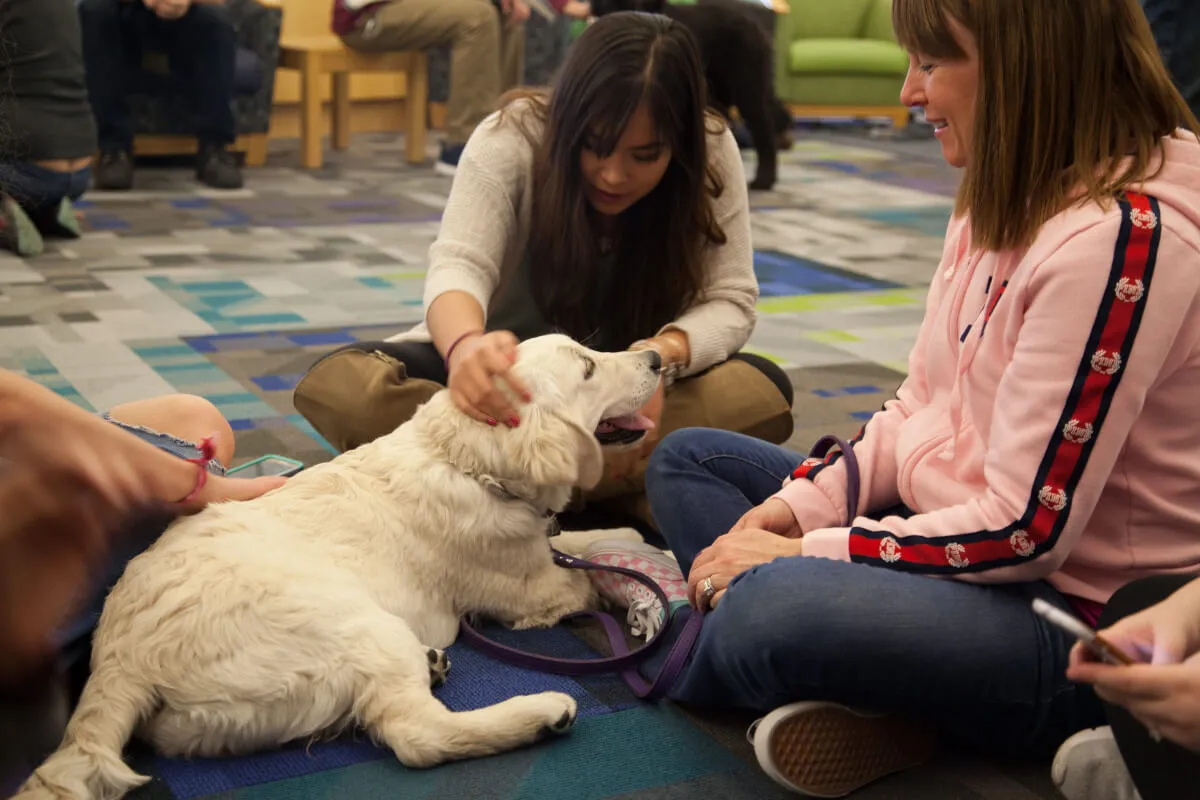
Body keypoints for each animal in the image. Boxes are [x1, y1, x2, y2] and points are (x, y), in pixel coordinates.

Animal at [18, 335, 662, 800]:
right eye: (587, 368)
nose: (656, 357)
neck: (469, 462)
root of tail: (119, 659)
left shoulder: (538, 548)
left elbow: (586, 537)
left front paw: (635, 541)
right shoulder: (532, 588)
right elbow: (583, 571)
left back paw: (435, 665)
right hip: (359, 625)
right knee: (415, 736)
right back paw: (540, 713)